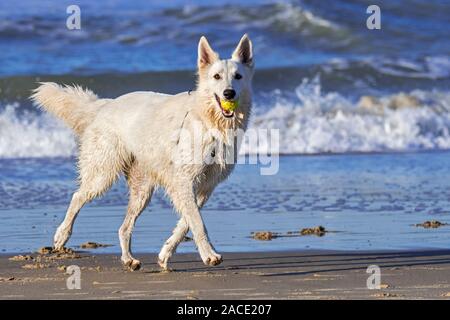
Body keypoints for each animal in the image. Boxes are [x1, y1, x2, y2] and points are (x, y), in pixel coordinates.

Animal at [31, 34, 253, 270]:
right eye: (216, 76)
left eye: (238, 76)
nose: (229, 93)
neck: (209, 121)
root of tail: (106, 105)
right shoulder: (184, 181)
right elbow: (197, 222)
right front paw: (209, 255)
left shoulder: (204, 187)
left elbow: (185, 223)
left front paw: (165, 253)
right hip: (103, 174)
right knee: (78, 196)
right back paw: (62, 235)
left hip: (142, 190)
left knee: (123, 227)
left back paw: (129, 259)